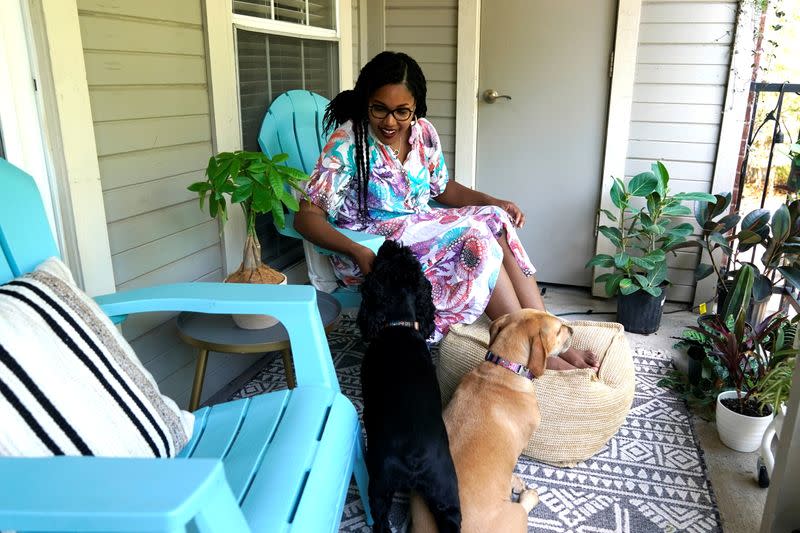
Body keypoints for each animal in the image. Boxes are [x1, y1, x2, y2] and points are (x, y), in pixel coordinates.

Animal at [358, 240, 462, 532]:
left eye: (385, 257)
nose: (388, 242)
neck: (399, 324)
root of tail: (415, 458)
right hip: (446, 488)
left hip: (379, 485)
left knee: (381, 521)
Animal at [410, 308, 572, 532]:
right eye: (558, 331)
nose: (572, 330)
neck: (503, 368)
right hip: (515, 515)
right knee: (523, 508)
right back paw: (529, 495)